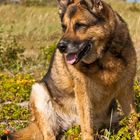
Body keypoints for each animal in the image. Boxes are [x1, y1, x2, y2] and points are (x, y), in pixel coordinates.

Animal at [1, 0, 137, 140]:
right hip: (39, 91)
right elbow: (87, 125)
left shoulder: (126, 90)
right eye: (64, 27)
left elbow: (133, 118)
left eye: (80, 25)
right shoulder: (82, 91)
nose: (60, 47)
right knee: (50, 134)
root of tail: (70, 123)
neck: (103, 57)